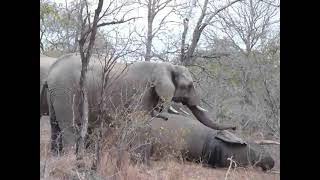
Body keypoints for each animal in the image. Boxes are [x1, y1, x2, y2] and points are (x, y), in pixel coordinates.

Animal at [43, 53, 236, 153]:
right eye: (189, 86)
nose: (235, 127)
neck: (163, 66)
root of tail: (51, 72)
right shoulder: (142, 92)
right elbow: (140, 123)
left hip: (56, 93)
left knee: (55, 125)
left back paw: (56, 157)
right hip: (66, 91)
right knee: (68, 127)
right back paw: (69, 158)